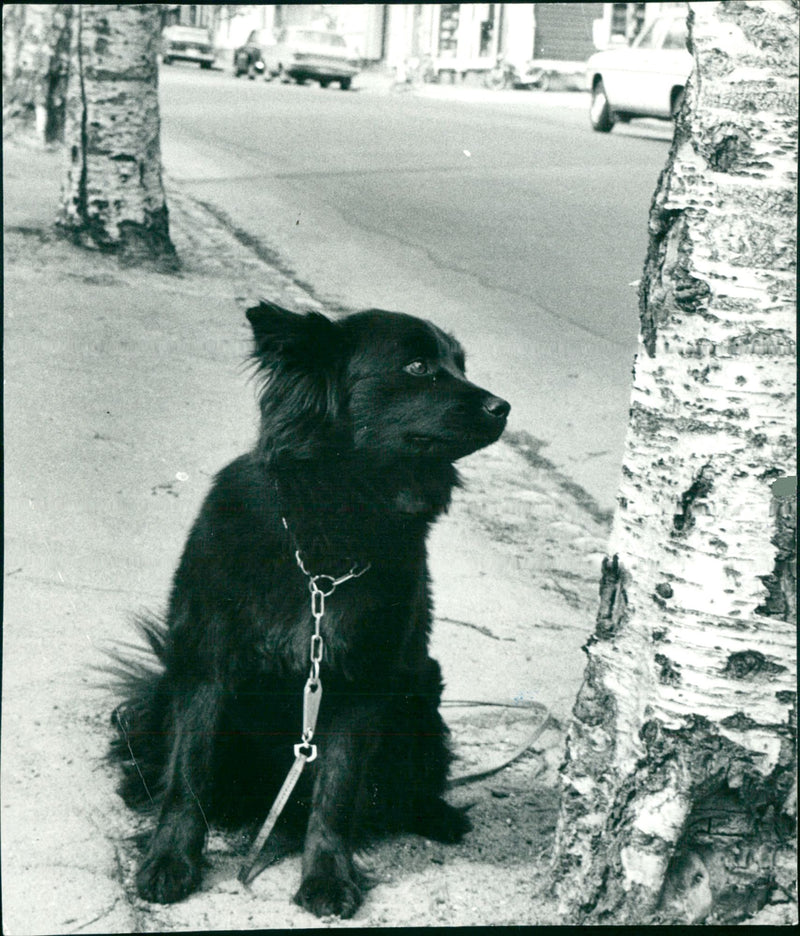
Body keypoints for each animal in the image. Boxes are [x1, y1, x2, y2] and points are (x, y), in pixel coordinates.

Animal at [109, 304, 510, 916]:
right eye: (418, 366)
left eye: (460, 365)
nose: (503, 407)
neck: (327, 543)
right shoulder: (207, 666)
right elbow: (189, 773)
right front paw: (170, 861)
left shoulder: (361, 682)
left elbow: (336, 793)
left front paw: (326, 878)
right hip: (170, 681)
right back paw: (140, 786)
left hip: (419, 690)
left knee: (414, 781)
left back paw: (436, 814)